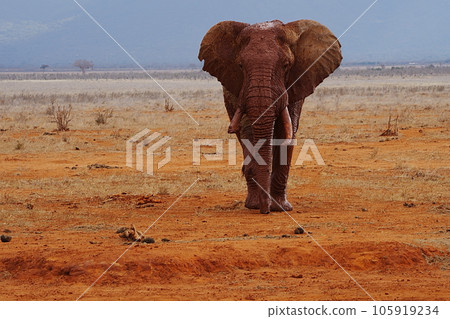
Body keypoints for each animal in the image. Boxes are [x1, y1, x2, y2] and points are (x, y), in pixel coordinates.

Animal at [197, 19, 342, 215]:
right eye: (240, 66)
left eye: (286, 65)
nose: (264, 210)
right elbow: (249, 132)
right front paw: (258, 205)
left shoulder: (295, 85)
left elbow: (287, 133)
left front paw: (281, 208)